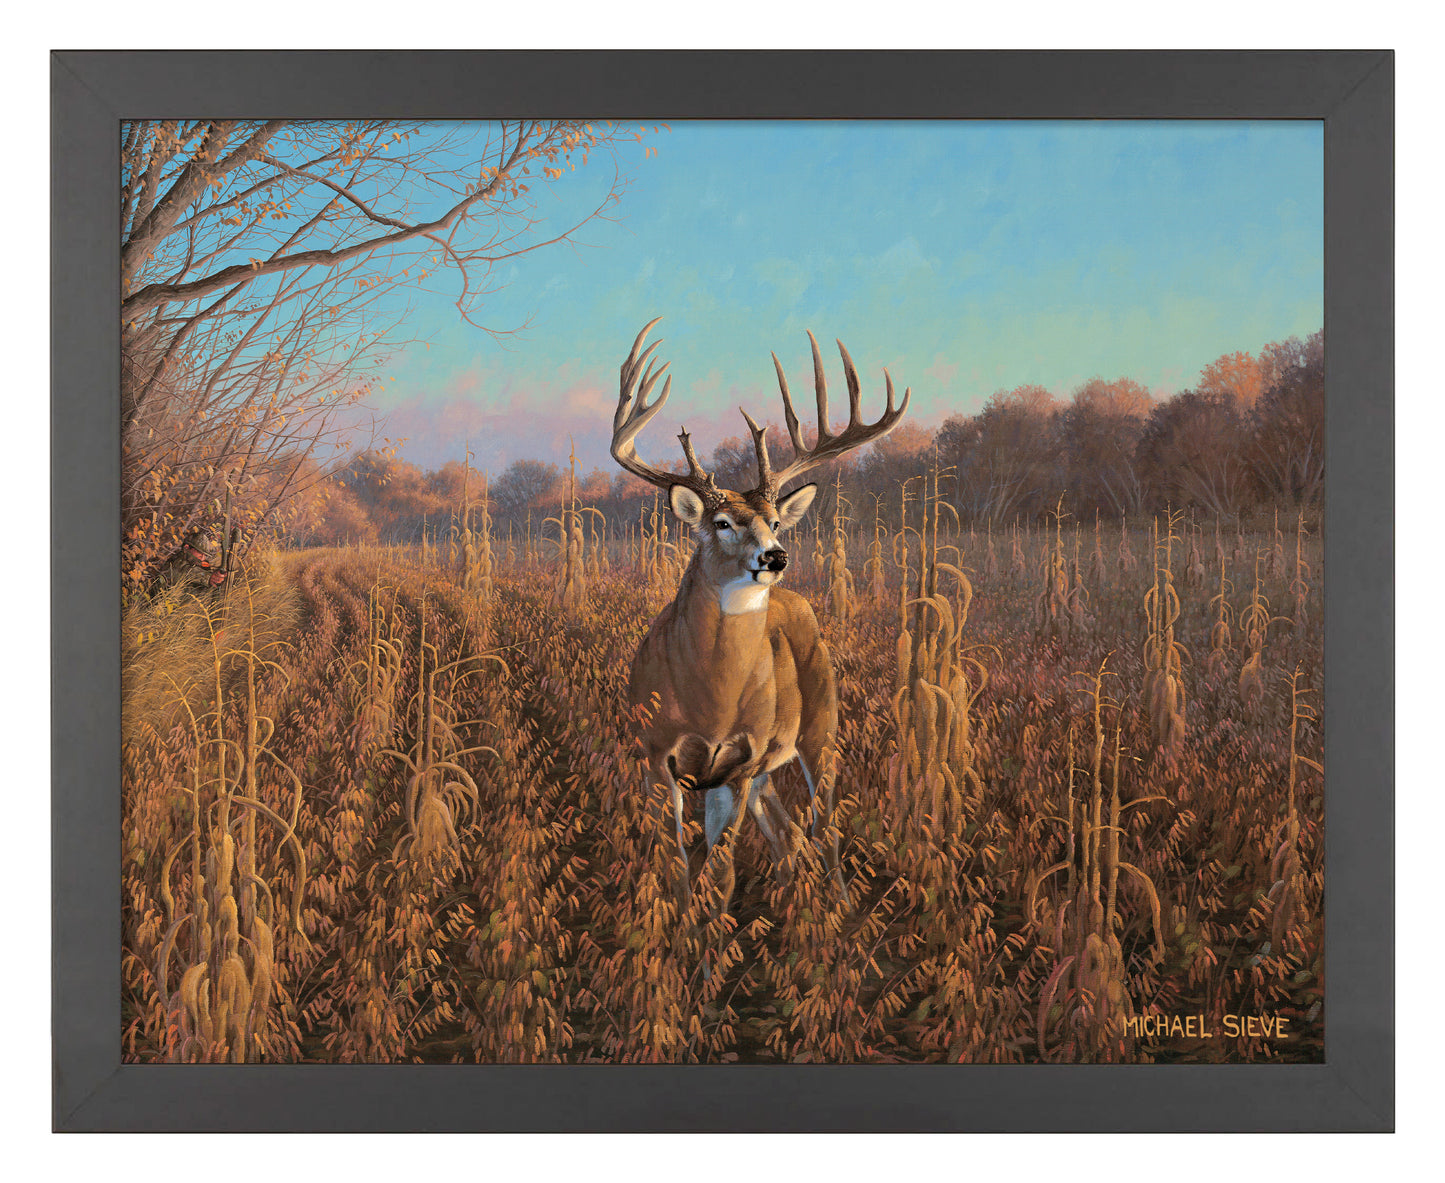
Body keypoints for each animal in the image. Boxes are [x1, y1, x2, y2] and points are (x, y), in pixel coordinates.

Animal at [611, 318, 911, 918]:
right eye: (722, 522)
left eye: (774, 519)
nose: (774, 556)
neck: (710, 701)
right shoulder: (656, 754)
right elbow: (680, 867)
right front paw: (683, 935)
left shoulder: (742, 760)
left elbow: (720, 872)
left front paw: (708, 937)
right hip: (772, 759)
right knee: (788, 829)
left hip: (822, 726)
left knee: (824, 824)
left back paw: (839, 910)